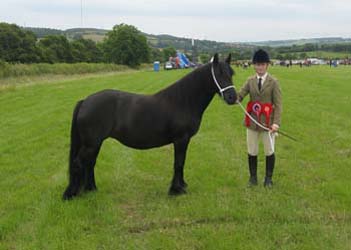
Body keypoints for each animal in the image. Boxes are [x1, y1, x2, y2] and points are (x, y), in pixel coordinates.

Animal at [63, 53, 239, 200]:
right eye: (218, 74)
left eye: (231, 74)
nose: (233, 97)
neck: (183, 100)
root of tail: (85, 101)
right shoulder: (181, 139)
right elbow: (178, 163)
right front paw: (176, 190)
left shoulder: (184, 140)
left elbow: (181, 162)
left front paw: (181, 186)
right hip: (91, 143)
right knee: (78, 163)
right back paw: (70, 194)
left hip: (95, 143)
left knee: (90, 163)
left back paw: (91, 189)